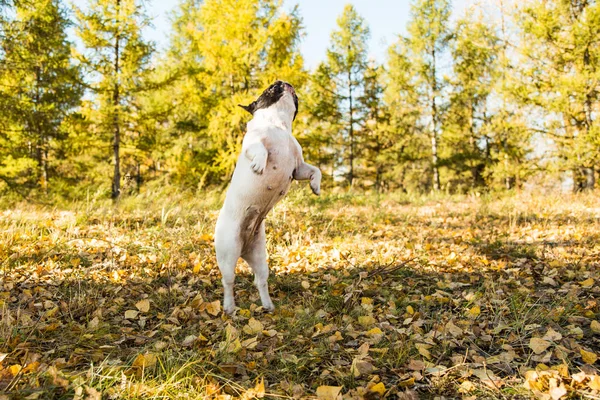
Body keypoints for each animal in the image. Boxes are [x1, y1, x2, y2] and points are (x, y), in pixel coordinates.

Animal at [213, 81, 322, 316]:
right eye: (271, 87)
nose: (284, 82)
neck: (279, 125)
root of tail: (244, 249)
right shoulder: (252, 144)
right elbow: (260, 150)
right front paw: (259, 164)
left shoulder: (299, 167)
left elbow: (315, 170)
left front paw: (315, 185)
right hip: (228, 252)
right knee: (228, 281)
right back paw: (229, 307)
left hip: (260, 257)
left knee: (260, 280)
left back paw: (267, 305)